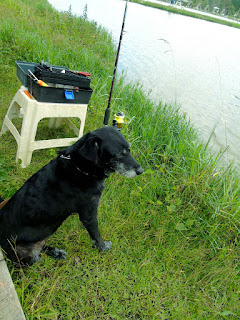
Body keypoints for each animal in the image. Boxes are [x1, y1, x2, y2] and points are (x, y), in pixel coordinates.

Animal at [0, 126, 142, 266]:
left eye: (129, 150)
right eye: (120, 154)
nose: (141, 171)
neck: (80, 168)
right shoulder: (89, 215)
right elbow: (96, 235)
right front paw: (103, 247)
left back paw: (56, 252)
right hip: (25, 254)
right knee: (36, 254)